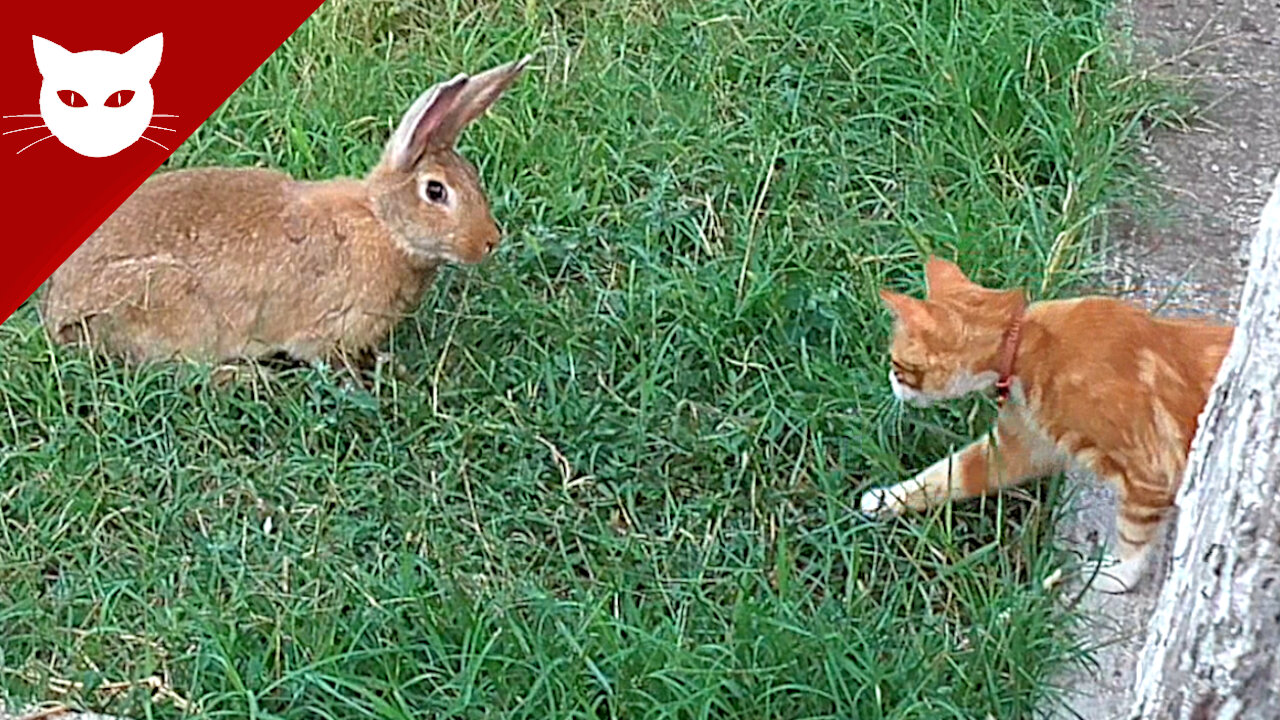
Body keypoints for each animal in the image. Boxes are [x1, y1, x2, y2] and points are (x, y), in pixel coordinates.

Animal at [855, 254, 1233, 591]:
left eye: (896, 364)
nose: (889, 381)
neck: (1026, 345)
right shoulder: (1019, 446)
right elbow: (946, 475)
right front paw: (886, 499)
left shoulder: (1150, 472)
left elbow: (1134, 535)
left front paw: (1116, 575)